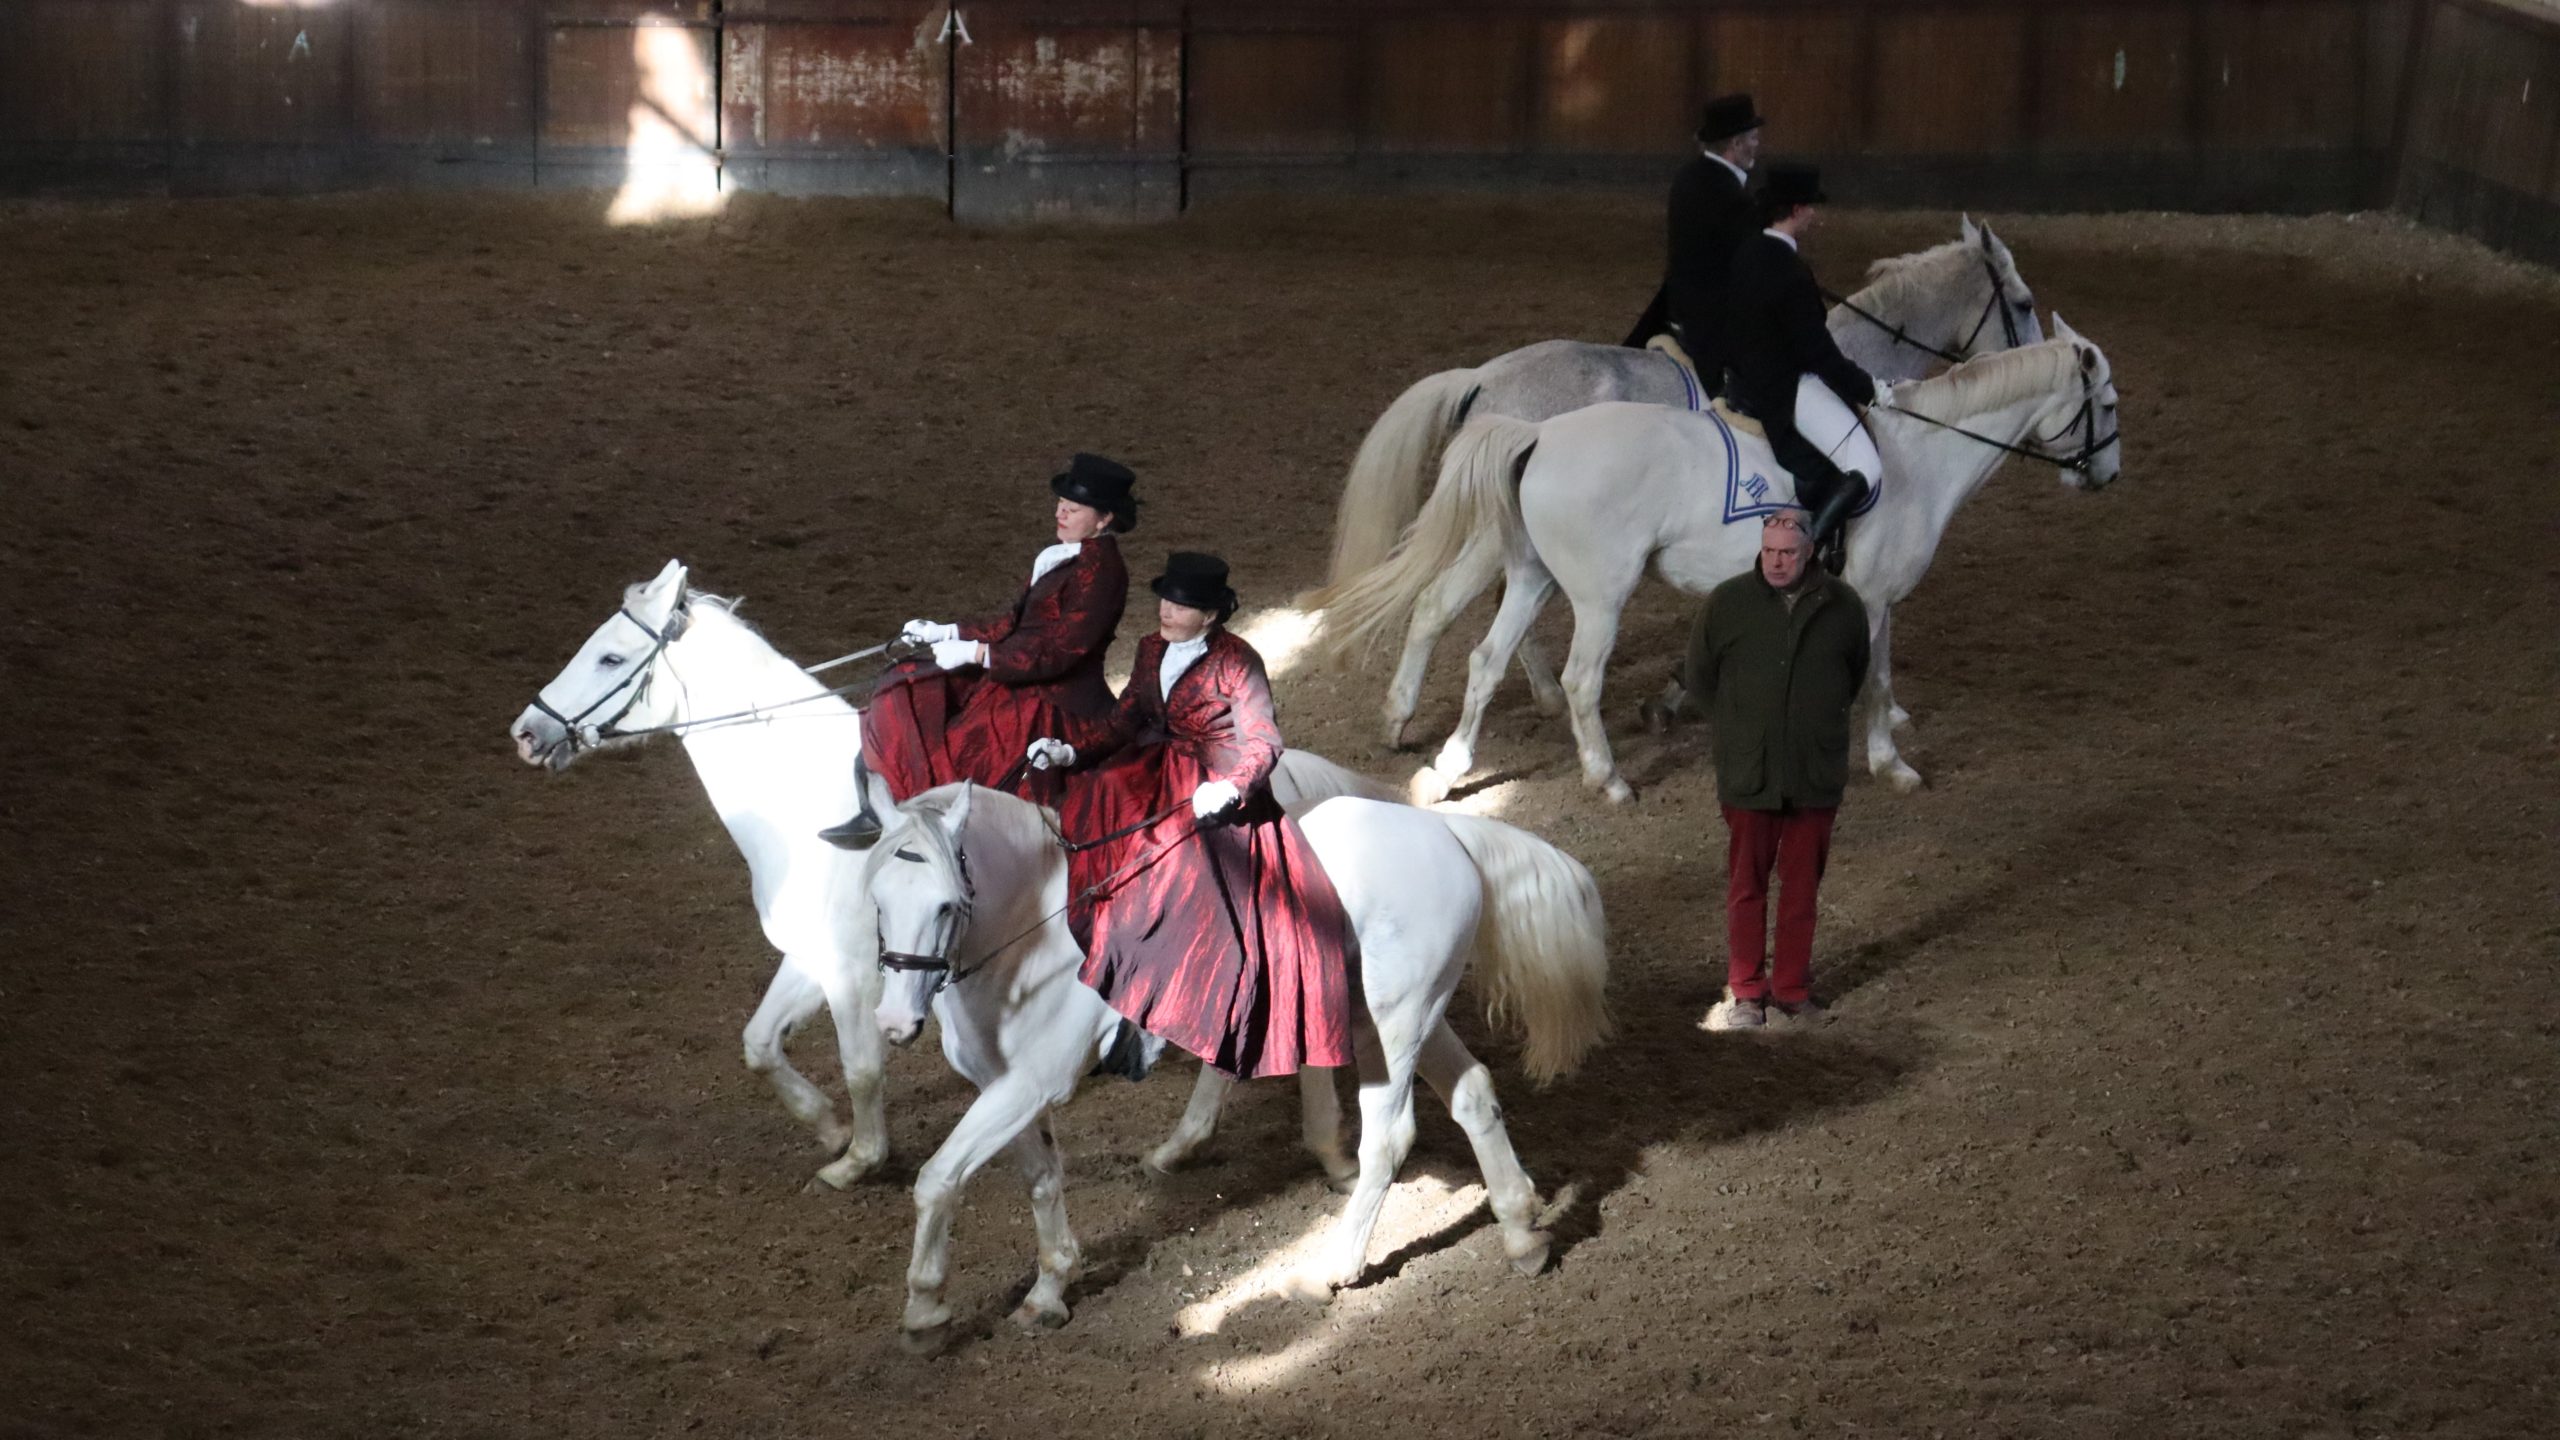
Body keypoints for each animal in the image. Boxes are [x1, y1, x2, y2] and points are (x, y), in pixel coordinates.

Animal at [509, 561, 1402, 1188]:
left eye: (612, 656)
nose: (525, 732)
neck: (817, 806)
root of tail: (1267, 786)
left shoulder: (854, 970)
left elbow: (863, 1064)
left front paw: (859, 1157)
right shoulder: (820, 953)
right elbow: (760, 1044)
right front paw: (827, 1128)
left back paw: (1314, 1149)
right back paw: (1190, 1149)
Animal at [870, 778, 1607, 1342]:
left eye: (946, 903)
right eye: (876, 899)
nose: (894, 1023)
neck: (1033, 939)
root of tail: (1444, 832)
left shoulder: (1029, 1083)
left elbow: (937, 1178)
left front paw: (925, 1311)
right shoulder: (1001, 1086)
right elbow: (1041, 1179)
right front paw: (1048, 1289)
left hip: (1395, 1023)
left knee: (1389, 1138)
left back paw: (1330, 1269)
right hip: (1405, 1017)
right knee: (1474, 1094)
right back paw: (1523, 1235)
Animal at [1310, 317, 2129, 799]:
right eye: (2110, 406)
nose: (2108, 475)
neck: (1918, 455)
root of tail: (1537, 431)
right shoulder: (1874, 596)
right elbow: (1876, 680)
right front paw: (1889, 763)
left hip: (1533, 575)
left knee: (1480, 652)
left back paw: (1446, 764)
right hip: (1599, 593)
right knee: (1576, 678)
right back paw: (1606, 780)